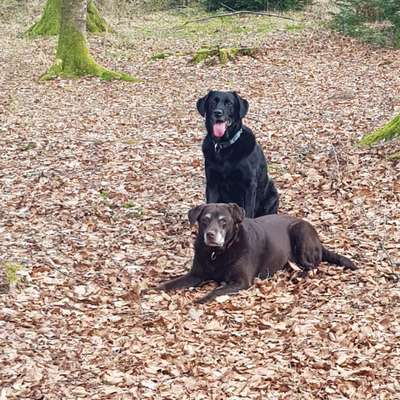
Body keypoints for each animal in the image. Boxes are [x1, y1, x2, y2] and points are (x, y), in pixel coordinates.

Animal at [159, 203, 356, 304]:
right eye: (204, 220)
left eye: (223, 221)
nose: (210, 235)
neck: (217, 253)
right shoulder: (195, 275)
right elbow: (169, 284)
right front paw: (156, 289)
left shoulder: (241, 281)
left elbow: (215, 291)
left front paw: (199, 299)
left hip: (300, 231)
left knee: (314, 265)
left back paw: (300, 274)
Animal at [197, 90, 278, 219]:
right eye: (212, 102)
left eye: (229, 103)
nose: (218, 113)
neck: (225, 146)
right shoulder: (212, 184)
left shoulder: (249, 185)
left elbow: (248, 212)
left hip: (272, 193)